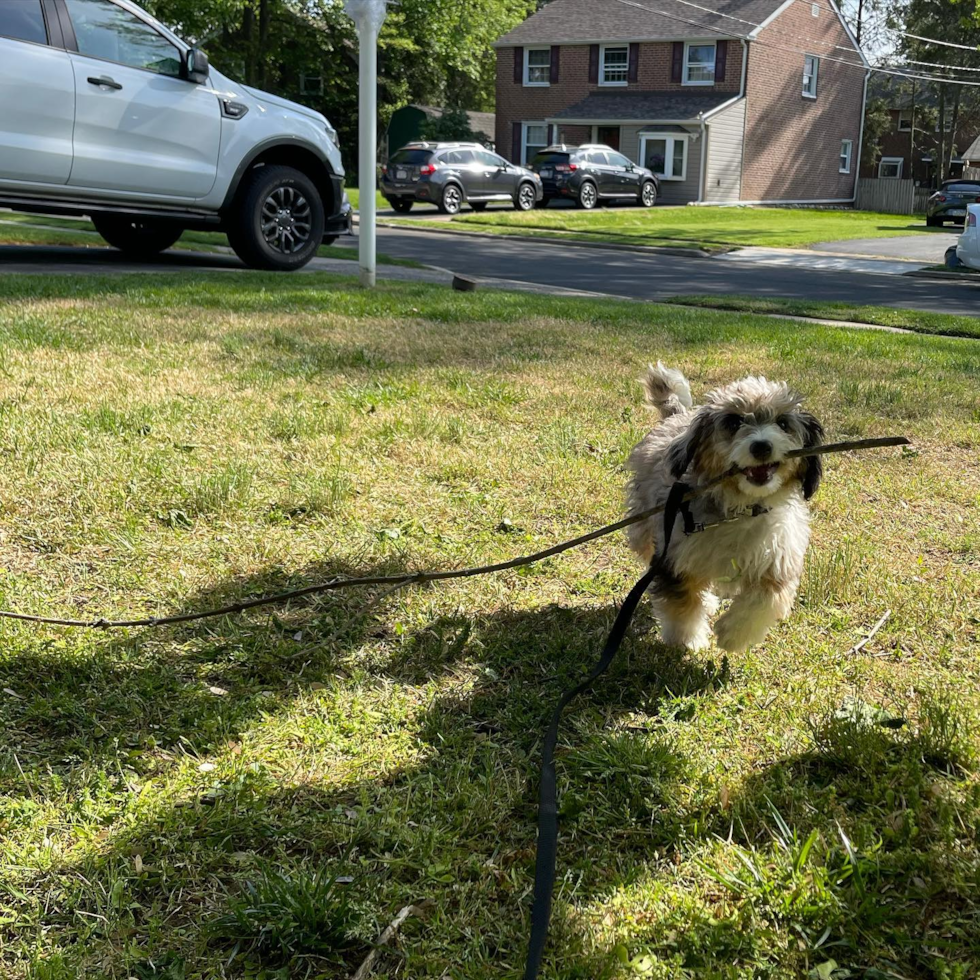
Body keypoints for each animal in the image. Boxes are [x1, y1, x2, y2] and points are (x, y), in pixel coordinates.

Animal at [624, 364, 824, 656]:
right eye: (733, 422)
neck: (739, 510)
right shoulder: (674, 556)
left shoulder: (778, 559)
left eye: (783, 423)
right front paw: (687, 639)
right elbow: (681, 603)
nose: (761, 446)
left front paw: (733, 636)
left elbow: (765, 599)